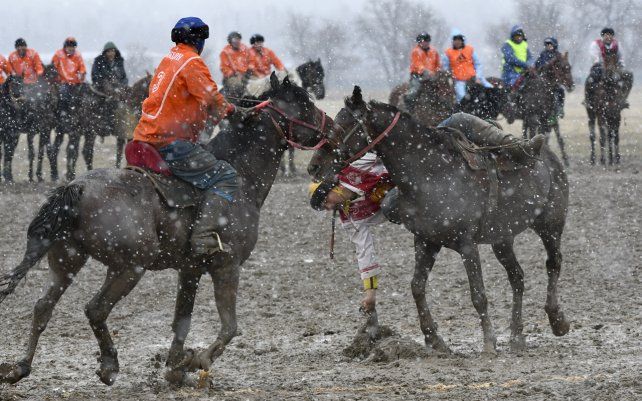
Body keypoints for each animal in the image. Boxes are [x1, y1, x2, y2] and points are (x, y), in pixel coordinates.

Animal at [0, 74, 336, 386]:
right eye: (304, 102)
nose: (333, 128)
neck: (241, 175)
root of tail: (77, 187)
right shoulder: (227, 266)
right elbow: (230, 327)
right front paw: (196, 360)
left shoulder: (190, 270)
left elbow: (182, 321)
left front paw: (175, 368)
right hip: (129, 266)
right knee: (95, 309)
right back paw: (109, 365)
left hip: (66, 260)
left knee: (43, 307)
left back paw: (20, 366)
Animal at [308, 86, 570, 355]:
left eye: (342, 127)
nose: (314, 166)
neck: (431, 173)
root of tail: (549, 157)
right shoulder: (426, 241)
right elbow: (417, 286)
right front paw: (433, 339)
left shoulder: (467, 245)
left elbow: (478, 295)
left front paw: (489, 342)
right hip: (502, 238)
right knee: (517, 277)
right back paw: (517, 336)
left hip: (550, 224)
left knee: (553, 263)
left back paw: (557, 320)